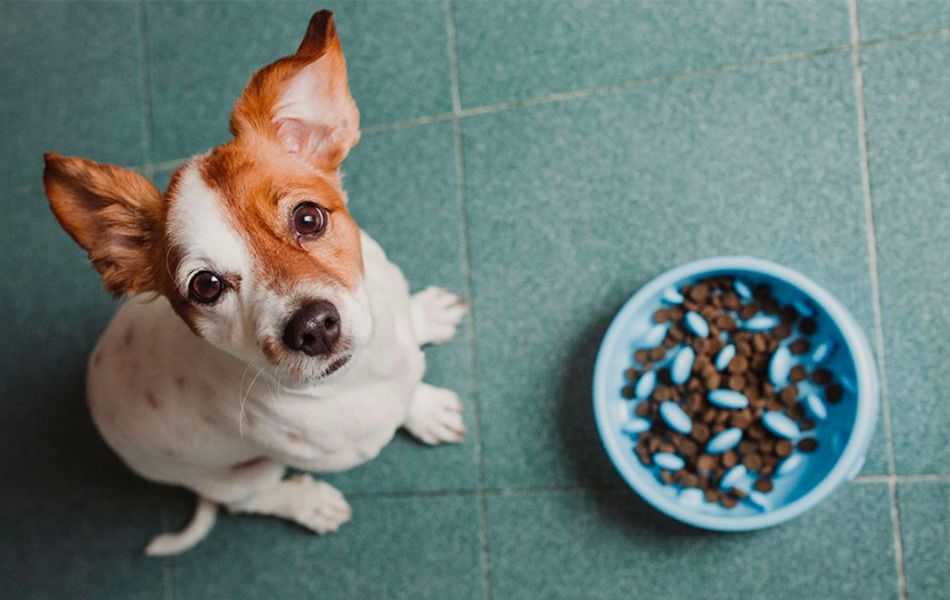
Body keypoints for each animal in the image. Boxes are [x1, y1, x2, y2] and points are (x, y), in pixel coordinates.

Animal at [42, 9, 470, 556]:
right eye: (205, 285)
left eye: (308, 218)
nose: (313, 327)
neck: (359, 373)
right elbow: (400, 404)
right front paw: (425, 409)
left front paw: (424, 324)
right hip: (245, 473)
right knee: (246, 501)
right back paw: (307, 504)